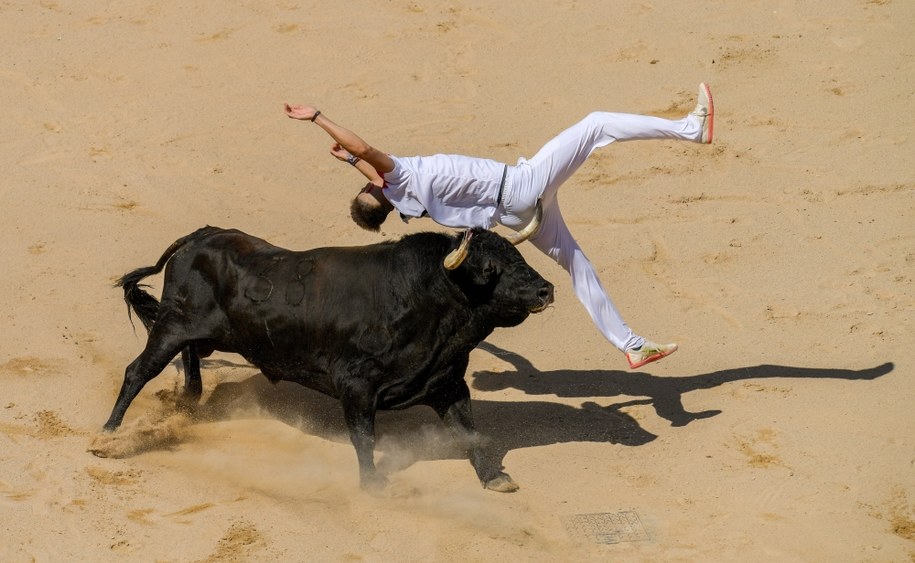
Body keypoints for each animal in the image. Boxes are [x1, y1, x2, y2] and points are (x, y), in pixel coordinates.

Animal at [104, 227, 556, 492]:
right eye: (490, 268)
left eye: (519, 257)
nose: (545, 290)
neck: (425, 299)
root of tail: (197, 237)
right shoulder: (356, 386)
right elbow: (364, 436)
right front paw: (372, 485)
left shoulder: (447, 383)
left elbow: (469, 432)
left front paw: (495, 478)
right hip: (172, 325)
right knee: (138, 371)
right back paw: (108, 436)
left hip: (195, 331)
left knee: (190, 355)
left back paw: (190, 400)